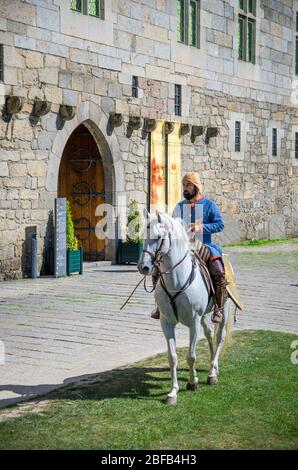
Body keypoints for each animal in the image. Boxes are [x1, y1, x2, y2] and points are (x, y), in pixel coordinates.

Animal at [137, 211, 230, 406]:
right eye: (143, 236)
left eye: (159, 237)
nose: (144, 267)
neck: (176, 279)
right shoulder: (166, 323)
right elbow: (172, 357)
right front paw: (173, 391)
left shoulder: (193, 322)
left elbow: (191, 355)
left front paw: (192, 382)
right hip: (203, 317)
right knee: (209, 334)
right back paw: (211, 365)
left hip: (223, 309)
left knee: (219, 337)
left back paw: (212, 373)